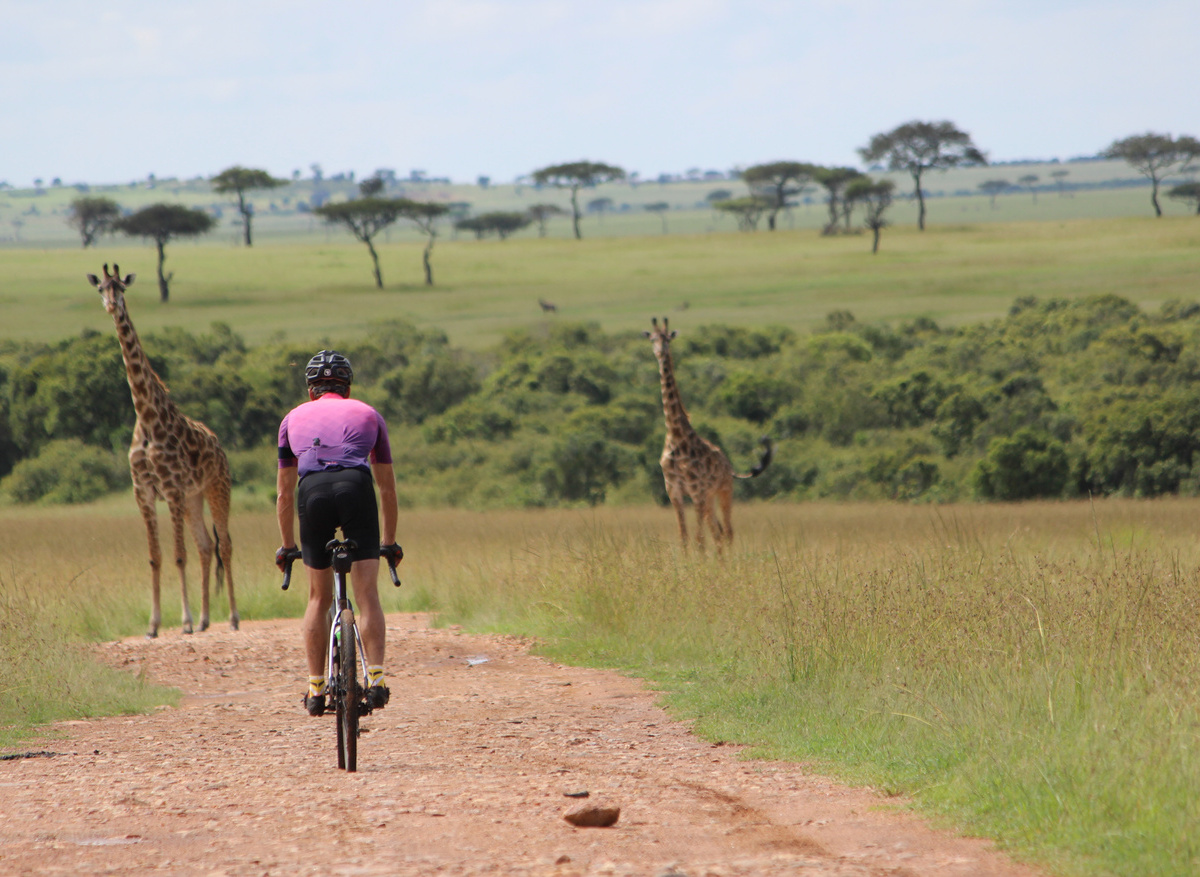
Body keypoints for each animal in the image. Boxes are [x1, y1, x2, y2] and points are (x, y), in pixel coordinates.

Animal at [87, 264, 238, 637]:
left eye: (122, 288)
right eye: (101, 289)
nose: (112, 307)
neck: (147, 418)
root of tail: (219, 444)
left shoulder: (171, 490)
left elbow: (178, 555)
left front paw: (183, 621)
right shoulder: (143, 492)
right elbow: (155, 557)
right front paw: (154, 625)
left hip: (217, 488)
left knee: (225, 544)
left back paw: (231, 617)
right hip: (194, 498)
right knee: (206, 546)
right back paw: (205, 619)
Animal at [645, 317, 772, 550]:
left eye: (668, 339)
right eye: (652, 339)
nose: (660, 352)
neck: (676, 437)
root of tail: (729, 466)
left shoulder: (696, 491)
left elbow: (699, 539)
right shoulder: (674, 491)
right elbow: (684, 537)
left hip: (723, 492)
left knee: (728, 532)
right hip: (710, 499)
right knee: (718, 532)